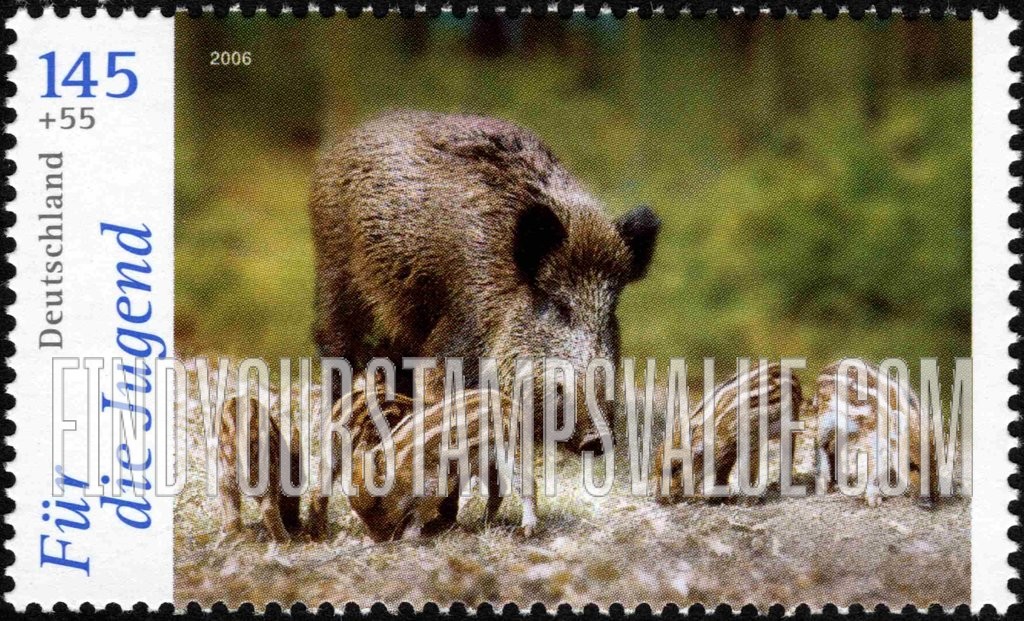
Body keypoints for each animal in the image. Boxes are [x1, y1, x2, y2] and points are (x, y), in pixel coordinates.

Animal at [309, 110, 660, 453]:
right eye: (560, 307)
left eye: (611, 311)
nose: (596, 440)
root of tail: (341, 144)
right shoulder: (459, 332)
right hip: (337, 270)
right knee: (332, 337)